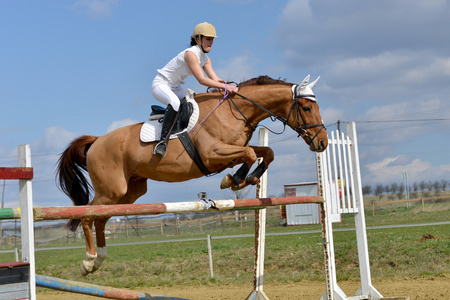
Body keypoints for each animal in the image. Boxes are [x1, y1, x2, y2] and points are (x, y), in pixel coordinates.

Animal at [56, 74, 326, 274]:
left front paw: (247, 178)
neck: (235, 111)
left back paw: (98, 259)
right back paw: (89, 260)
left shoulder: (232, 151)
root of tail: (97, 141)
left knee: (100, 218)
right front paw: (235, 180)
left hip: (129, 192)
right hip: (112, 190)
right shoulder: (212, 154)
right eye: (306, 107)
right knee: (88, 216)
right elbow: (250, 154)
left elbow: (265, 152)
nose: (322, 142)